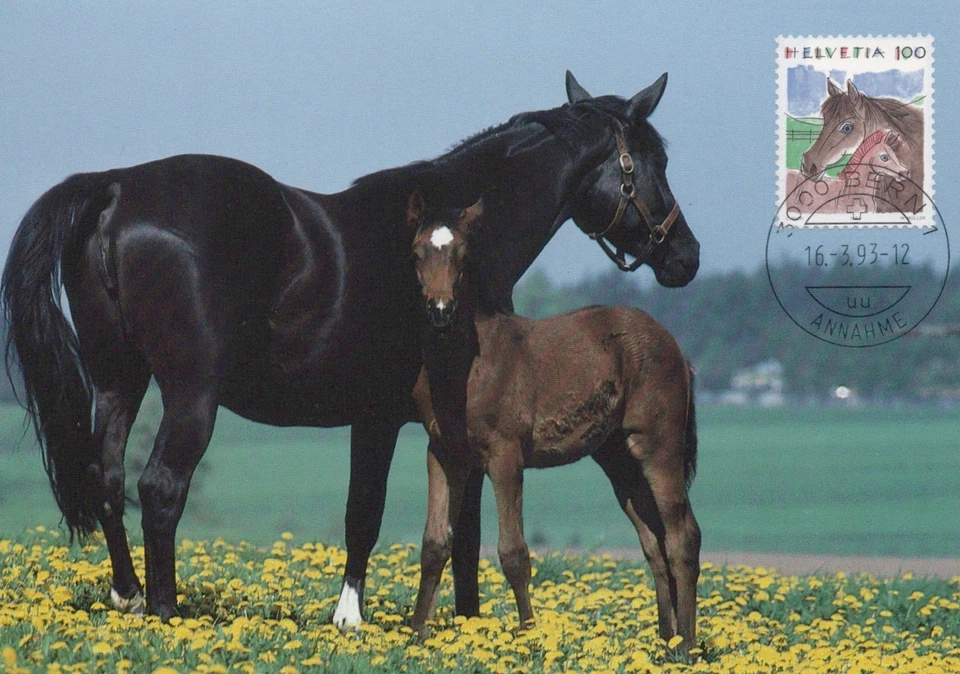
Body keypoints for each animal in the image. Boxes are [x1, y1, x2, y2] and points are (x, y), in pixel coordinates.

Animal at [406, 194, 700, 653]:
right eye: (417, 254)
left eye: (464, 255)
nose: (440, 311)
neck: (464, 366)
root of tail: (674, 345)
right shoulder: (443, 453)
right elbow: (434, 543)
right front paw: (418, 633)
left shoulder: (505, 456)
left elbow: (513, 553)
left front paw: (529, 635)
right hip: (620, 461)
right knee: (654, 542)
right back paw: (666, 643)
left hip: (658, 446)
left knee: (682, 535)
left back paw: (686, 647)